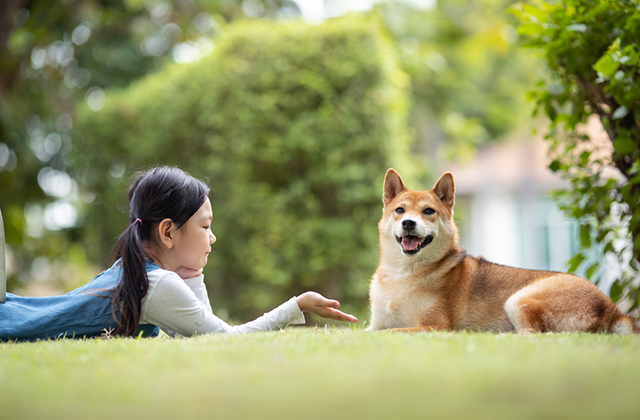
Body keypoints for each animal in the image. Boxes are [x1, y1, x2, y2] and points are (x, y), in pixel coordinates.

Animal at [368, 169, 636, 334]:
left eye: (428, 211)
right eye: (400, 210)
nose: (408, 223)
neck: (402, 275)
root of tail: (614, 310)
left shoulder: (434, 326)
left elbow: (389, 333)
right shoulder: (375, 323)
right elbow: (369, 331)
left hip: (518, 299)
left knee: (537, 334)